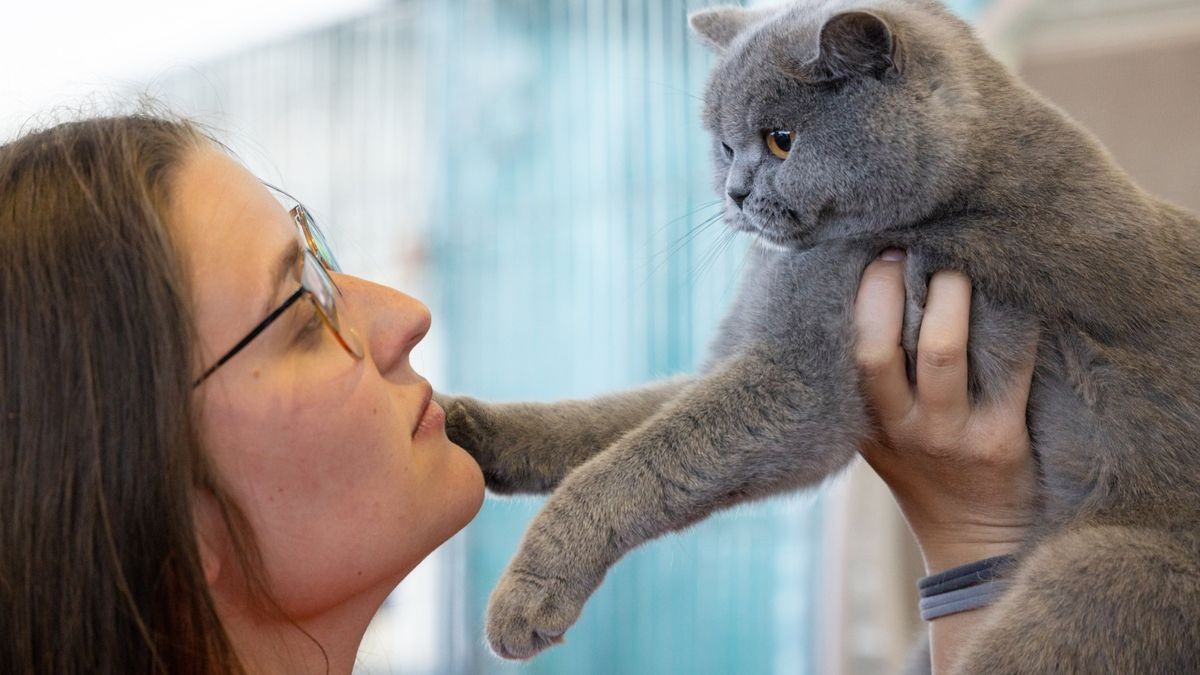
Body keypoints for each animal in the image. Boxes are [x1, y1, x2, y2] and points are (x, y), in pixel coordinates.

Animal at [436, 1, 1200, 667]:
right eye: (724, 145)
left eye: (782, 140)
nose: (736, 191)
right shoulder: (742, 352)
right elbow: (606, 422)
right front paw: (467, 428)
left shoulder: (804, 384)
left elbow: (636, 461)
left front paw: (527, 592)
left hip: (1101, 568)